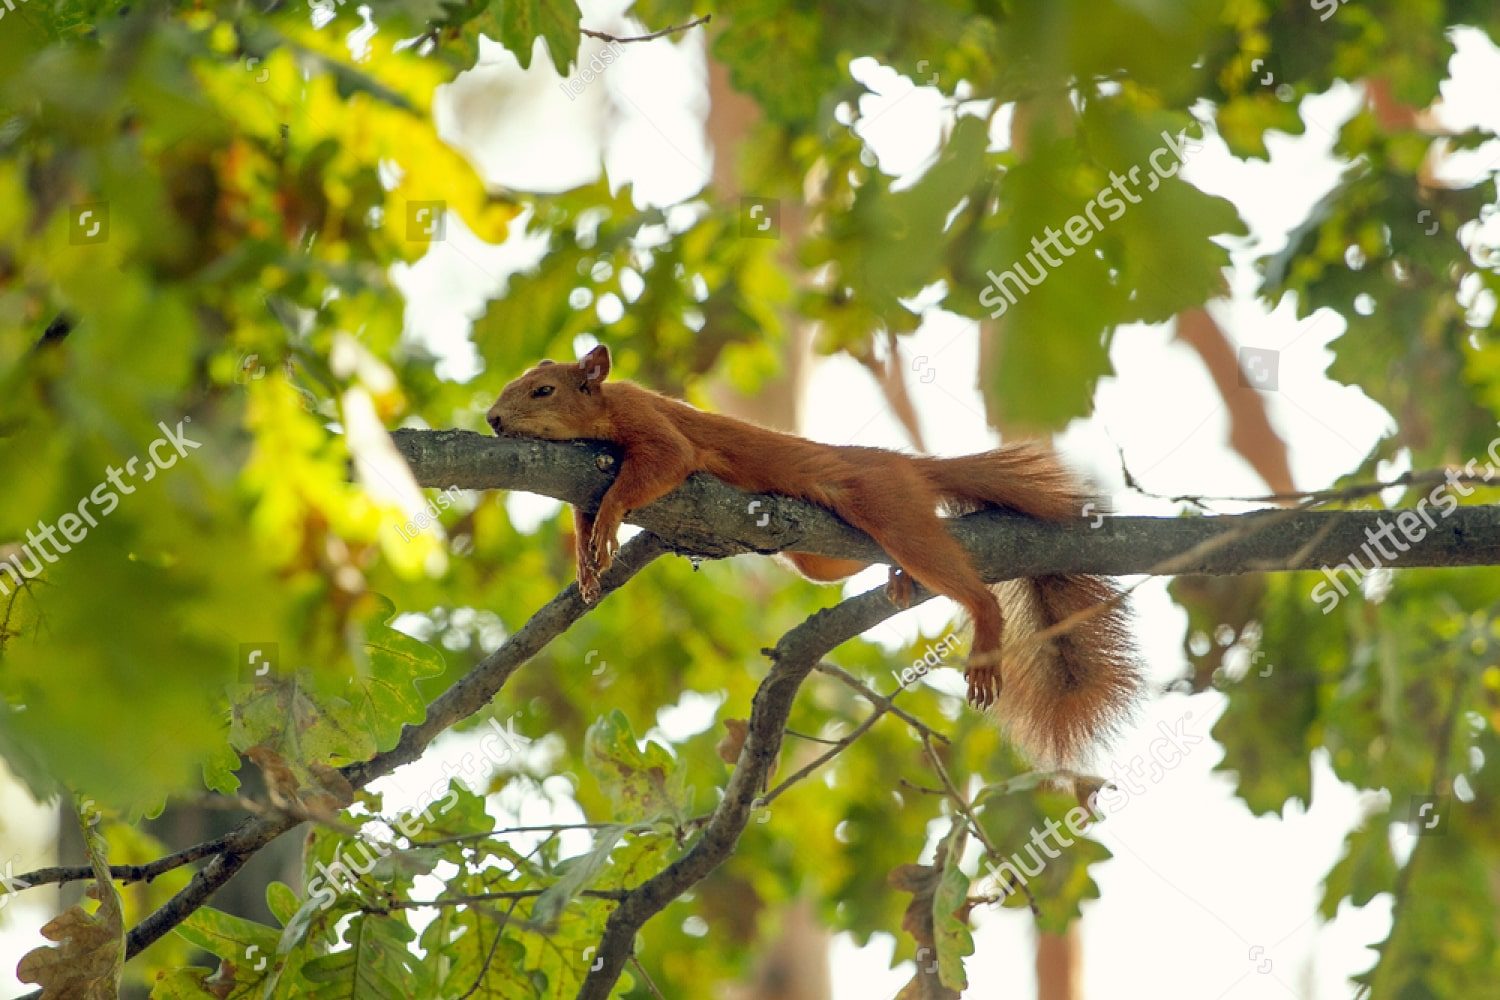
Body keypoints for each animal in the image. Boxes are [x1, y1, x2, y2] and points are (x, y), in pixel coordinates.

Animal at [486, 344, 1141, 766]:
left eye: (543, 390)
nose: (492, 419)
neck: (601, 416)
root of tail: (905, 463)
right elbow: (583, 517)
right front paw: (587, 563)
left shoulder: (652, 427)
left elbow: (658, 466)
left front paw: (614, 520)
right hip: (823, 555)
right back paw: (896, 578)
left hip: (890, 505)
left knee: (965, 583)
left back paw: (979, 623)